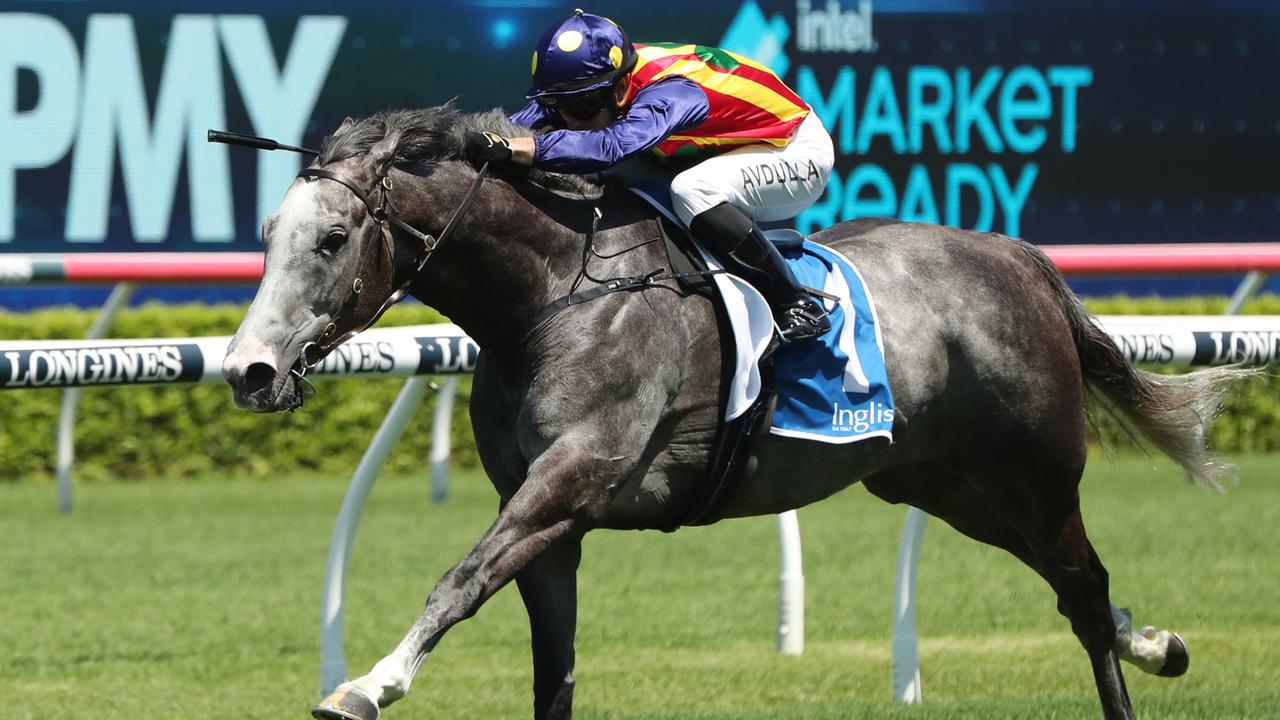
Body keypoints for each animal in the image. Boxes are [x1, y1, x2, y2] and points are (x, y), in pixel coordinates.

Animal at [220, 107, 1249, 717]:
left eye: (333, 238)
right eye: (268, 235)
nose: (247, 370)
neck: (552, 294)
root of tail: (1018, 257)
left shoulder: (572, 480)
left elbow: (458, 580)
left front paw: (366, 683)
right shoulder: (548, 519)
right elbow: (552, 663)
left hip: (1031, 471)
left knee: (1080, 587)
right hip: (943, 484)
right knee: (1080, 584)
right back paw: (1159, 642)